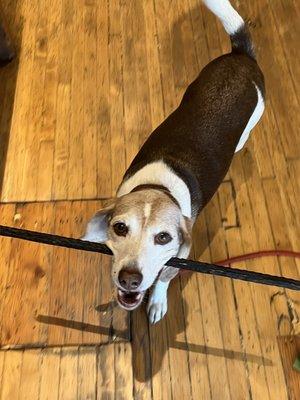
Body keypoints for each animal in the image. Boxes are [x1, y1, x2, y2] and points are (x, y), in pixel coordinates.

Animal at [81, 0, 264, 324]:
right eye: (119, 228)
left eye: (164, 238)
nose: (130, 279)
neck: (157, 186)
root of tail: (241, 56)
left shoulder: (179, 255)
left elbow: (165, 277)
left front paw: (157, 301)